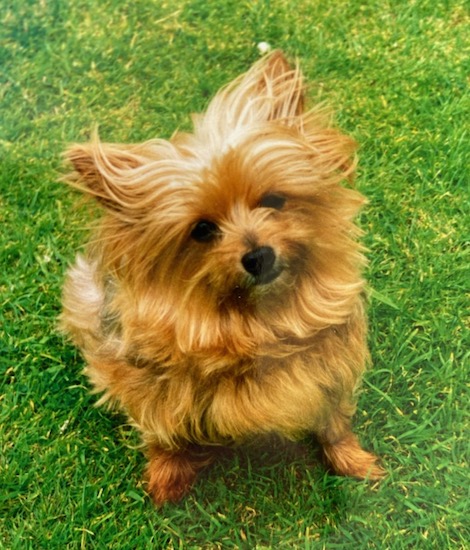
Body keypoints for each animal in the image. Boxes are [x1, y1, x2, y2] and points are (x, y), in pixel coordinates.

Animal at [60, 51, 384, 508]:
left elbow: (335, 422)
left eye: (273, 200)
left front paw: (352, 461)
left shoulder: (331, 368)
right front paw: (167, 478)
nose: (258, 255)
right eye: (202, 229)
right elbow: (164, 434)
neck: (256, 318)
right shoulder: (151, 388)